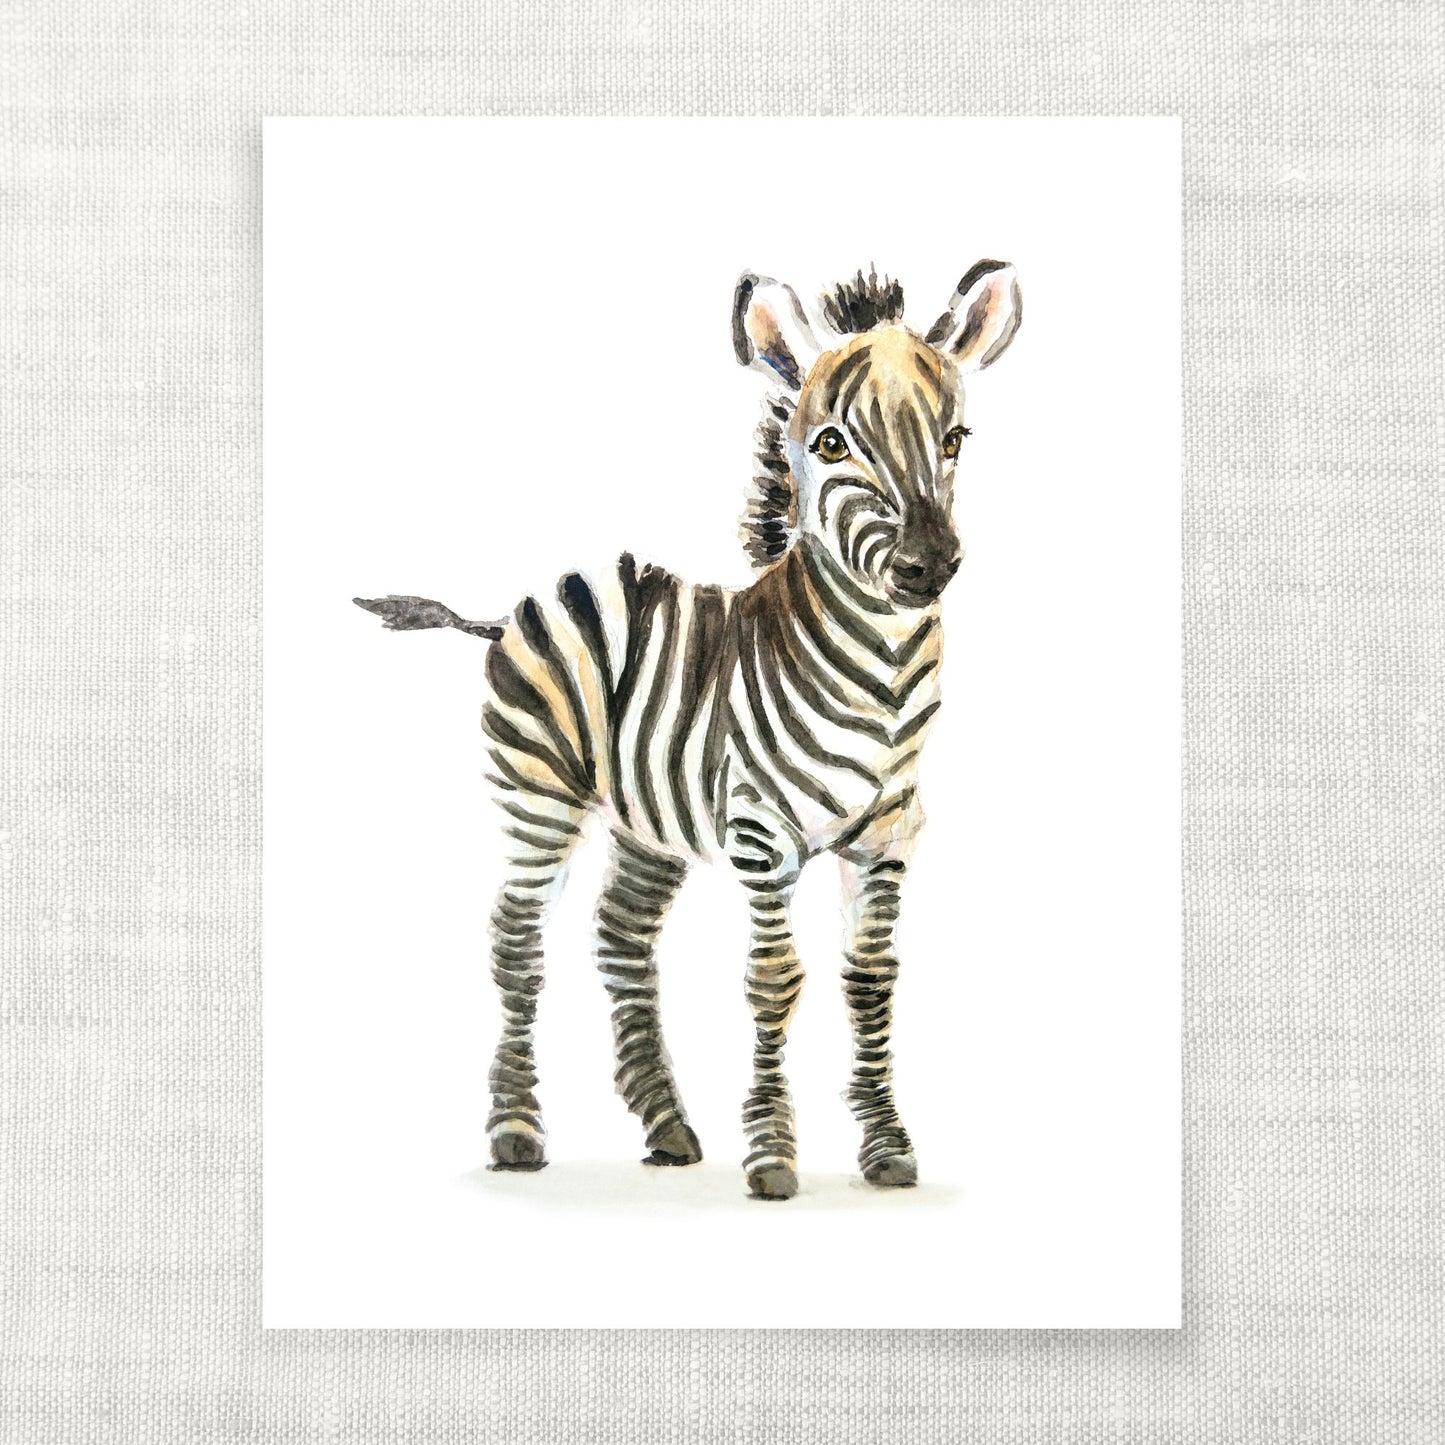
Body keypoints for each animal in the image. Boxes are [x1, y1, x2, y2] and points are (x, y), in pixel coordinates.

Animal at [355, 261, 1022, 1200]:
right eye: (830, 445)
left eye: (955, 437)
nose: (927, 567)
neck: (883, 683)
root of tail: (521, 602)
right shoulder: (760, 833)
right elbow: (775, 981)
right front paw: (772, 1157)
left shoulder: (889, 834)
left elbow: (870, 980)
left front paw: (887, 1147)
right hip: (538, 797)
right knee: (516, 937)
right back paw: (516, 1132)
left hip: (647, 819)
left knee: (622, 940)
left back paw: (667, 1126)